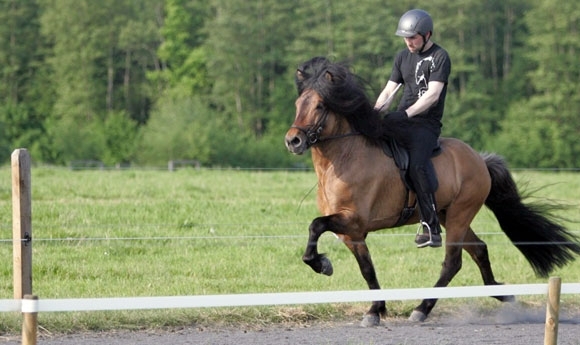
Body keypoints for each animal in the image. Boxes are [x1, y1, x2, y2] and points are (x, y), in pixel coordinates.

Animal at [284, 56, 580, 326]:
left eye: (320, 105)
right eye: (298, 105)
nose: (293, 141)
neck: (344, 159)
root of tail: (479, 160)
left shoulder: (353, 220)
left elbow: (315, 226)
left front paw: (323, 265)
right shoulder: (352, 233)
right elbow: (367, 269)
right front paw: (374, 309)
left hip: (460, 214)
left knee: (453, 262)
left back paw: (422, 308)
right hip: (449, 216)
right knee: (479, 249)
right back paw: (502, 293)